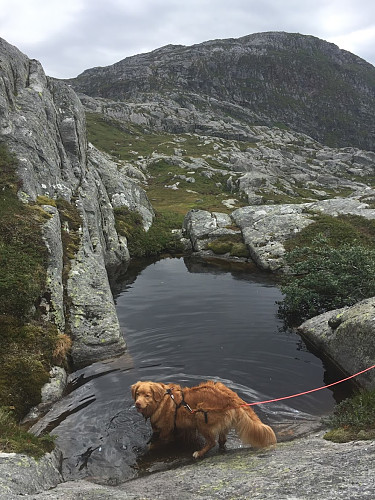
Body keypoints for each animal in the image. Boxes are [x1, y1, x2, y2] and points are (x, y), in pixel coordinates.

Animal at [131, 378, 276, 458]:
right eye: (137, 394)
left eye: (147, 395)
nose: (137, 403)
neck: (162, 400)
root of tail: (231, 397)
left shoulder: (166, 431)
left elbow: (154, 444)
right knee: (222, 440)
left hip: (200, 416)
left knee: (212, 442)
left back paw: (199, 453)